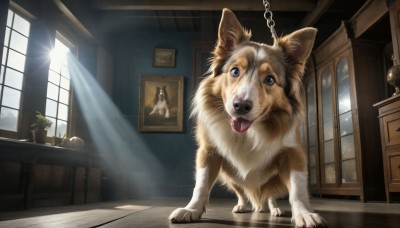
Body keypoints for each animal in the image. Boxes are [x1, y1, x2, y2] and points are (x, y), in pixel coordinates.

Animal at [169, 8, 328, 227]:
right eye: (235, 71)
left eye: (269, 80)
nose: (241, 106)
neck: (249, 132)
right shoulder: (209, 151)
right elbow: (200, 185)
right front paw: (191, 210)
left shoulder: (293, 153)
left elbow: (297, 189)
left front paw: (304, 214)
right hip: (229, 174)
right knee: (241, 192)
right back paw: (242, 206)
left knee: (270, 195)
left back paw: (274, 208)